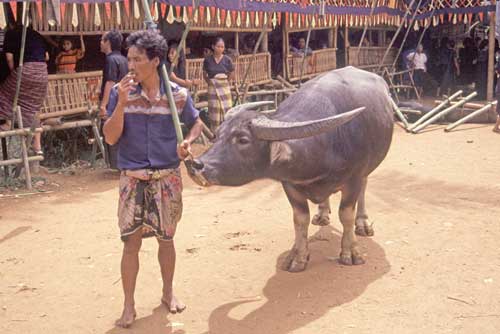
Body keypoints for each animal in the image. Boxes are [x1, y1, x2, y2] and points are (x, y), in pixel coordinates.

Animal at [188, 67, 394, 272]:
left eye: (243, 140)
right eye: (218, 134)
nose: (195, 164)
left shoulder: (354, 179)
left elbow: (346, 215)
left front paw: (350, 252)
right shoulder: (289, 185)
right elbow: (300, 219)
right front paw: (297, 256)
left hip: (367, 169)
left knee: (364, 188)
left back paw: (363, 223)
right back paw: (322, 214)